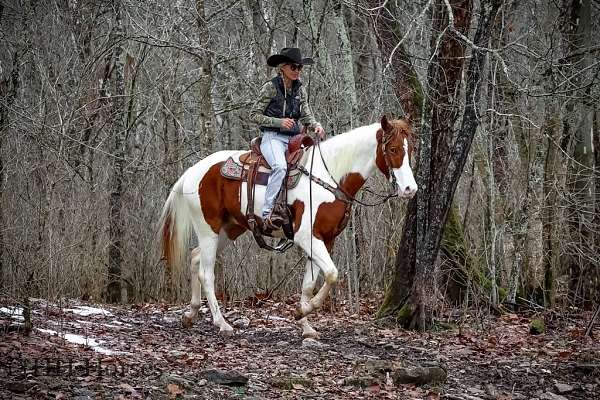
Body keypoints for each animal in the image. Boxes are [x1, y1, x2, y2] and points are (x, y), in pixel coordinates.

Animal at [159, 115, 418, 338]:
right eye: (393, 149)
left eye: (411, 149)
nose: (410, 189)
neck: (330, 176)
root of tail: (193, 171)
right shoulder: (307, 238)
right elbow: (332, 274)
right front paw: (304, 311)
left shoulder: (325, 239)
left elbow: (309, 284)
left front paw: (305, 323)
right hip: (208, 229)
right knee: (206, 273)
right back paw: (221, 323)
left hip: (229, 229)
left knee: (195, 257)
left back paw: (190, 314)